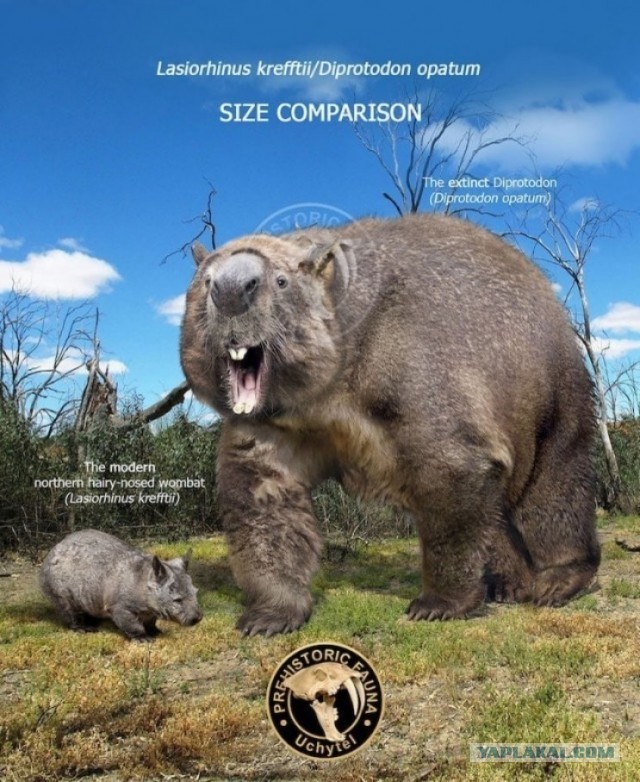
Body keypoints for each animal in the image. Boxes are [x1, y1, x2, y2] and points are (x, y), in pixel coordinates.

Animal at [180, 212, 600, 636]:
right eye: (205, 280)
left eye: (280, 281)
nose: (231, 289)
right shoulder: (276, 419)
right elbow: (262, 493)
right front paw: (269, 616)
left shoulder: (410, 360)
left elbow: (452, 467)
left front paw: (436, 604)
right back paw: (508, 584)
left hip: (551, 386)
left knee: (554, 483)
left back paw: (558, 581)